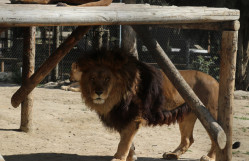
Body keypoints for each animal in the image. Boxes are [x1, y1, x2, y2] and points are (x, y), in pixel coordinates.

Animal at [71, 48, 222, 161]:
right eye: (92, 78)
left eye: (107, 79)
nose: (98, 92)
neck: (114, 97)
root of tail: (216, 81)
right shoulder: (123, 117)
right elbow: (127, 140)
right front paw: (131, 156)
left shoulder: (133, 117)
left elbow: (124, 141)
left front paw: (119, 158)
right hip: (188, 116)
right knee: (188, 140)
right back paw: (172, 155)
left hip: (210, 114)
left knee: (217, 137)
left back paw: (209, 157)